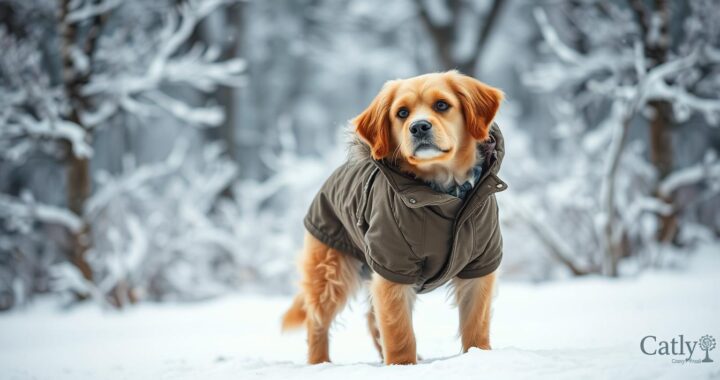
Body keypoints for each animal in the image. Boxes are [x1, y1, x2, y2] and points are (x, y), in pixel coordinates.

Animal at [282, 70, 506, 366]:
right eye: (402, 113)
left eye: (442, 105)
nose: (419, 127)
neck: (441, 196)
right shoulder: (393, 266)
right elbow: (399, 330)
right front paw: (403, 365)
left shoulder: (479, 264)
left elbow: (475, 324)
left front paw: (478, 356)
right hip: (330, 269)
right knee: (317, 321)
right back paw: (320, 362)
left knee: (371, 318)